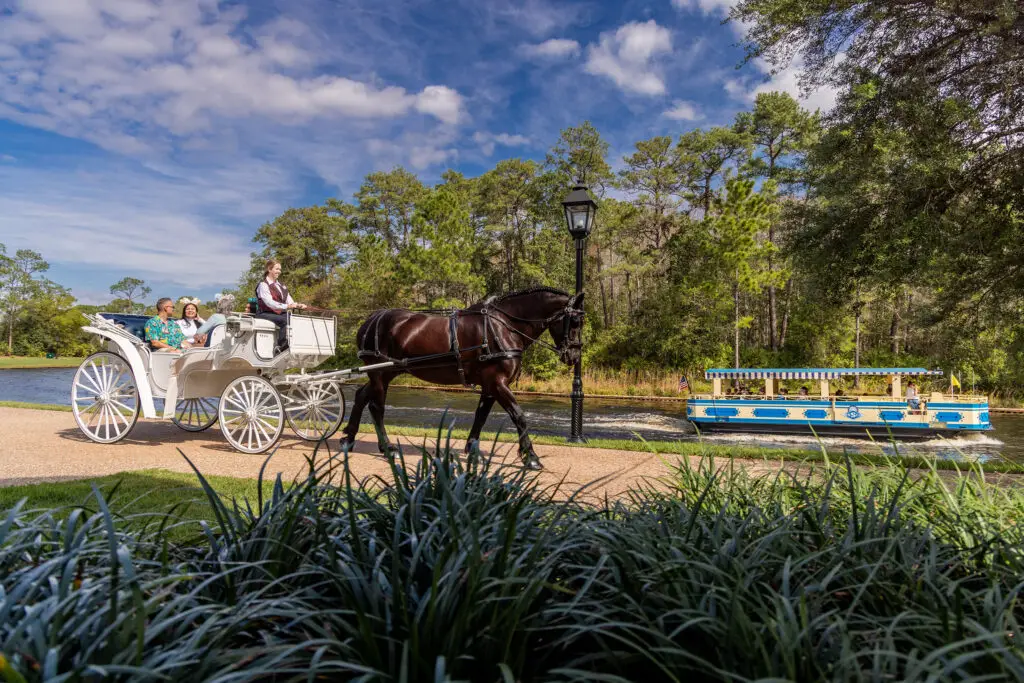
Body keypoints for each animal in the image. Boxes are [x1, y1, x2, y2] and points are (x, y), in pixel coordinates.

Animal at [339, 286, 585, 471]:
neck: (503, 327)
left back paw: (349, 438)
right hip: (378, 372)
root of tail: (372, 319)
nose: (573, 356)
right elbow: (519, 416)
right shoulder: (498, 383)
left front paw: (472, 447)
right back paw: (388, 447)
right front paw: (531, 457)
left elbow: (481, 416)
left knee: (361, 396)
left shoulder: (490, 385)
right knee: (376, 407)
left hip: (387, 372)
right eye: (574, 322)